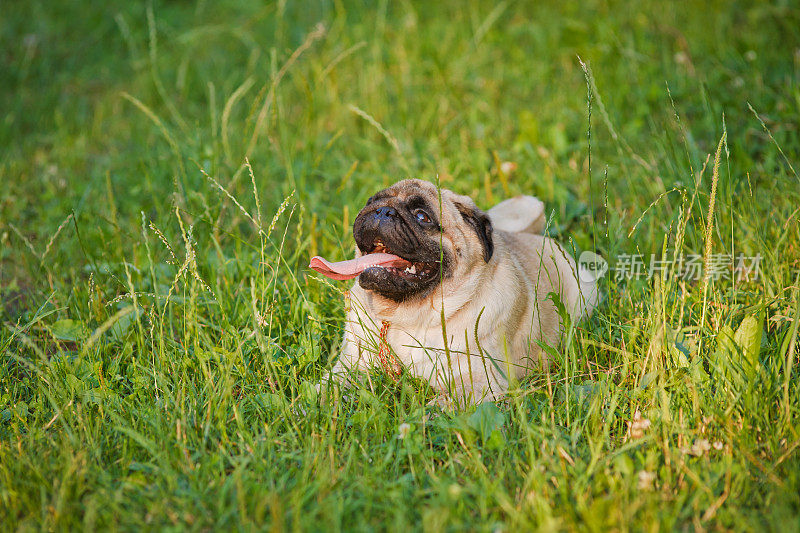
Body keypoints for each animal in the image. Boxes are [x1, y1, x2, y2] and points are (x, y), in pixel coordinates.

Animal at [310, 177, 596, 402]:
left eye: (422, 216)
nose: (382, 211)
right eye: (372, 202)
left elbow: (438, 410)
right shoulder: (349, 367)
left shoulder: (479, 385)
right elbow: (326, 389)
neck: (405, 318)